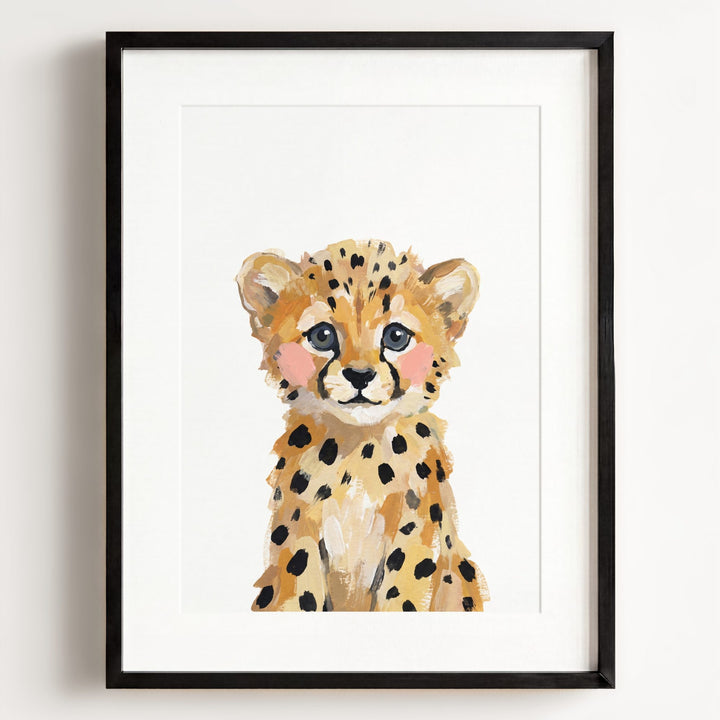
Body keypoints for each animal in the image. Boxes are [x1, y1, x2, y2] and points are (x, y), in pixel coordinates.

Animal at [236, 239, 490, 611]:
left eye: (396, 336)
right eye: (322, 335)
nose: (359, 375)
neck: (358, 449)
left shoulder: (413, 535)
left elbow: (402, 595)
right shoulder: (299, 532)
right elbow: (299, 589)